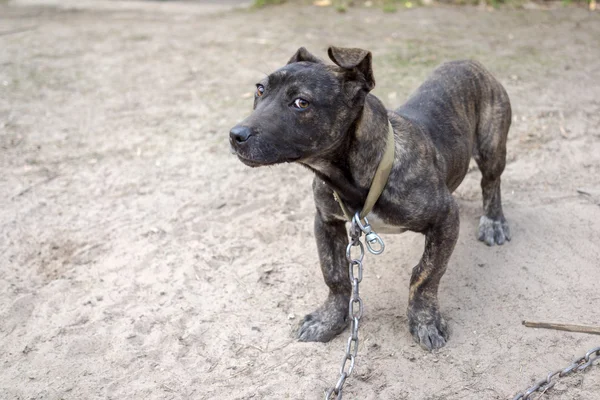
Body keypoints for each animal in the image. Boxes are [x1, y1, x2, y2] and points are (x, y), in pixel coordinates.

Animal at [229, 46, 510, 350]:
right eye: (260, 89)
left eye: (301, 103)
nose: (235, 135)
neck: (356, 175)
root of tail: (470, 63)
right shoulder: (326, 222)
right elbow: (335, 274)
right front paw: (328, 319)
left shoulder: (445, 219)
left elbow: (426, 274)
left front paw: (425, 321)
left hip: (492, 148)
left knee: (491, 182)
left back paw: (494, 222)